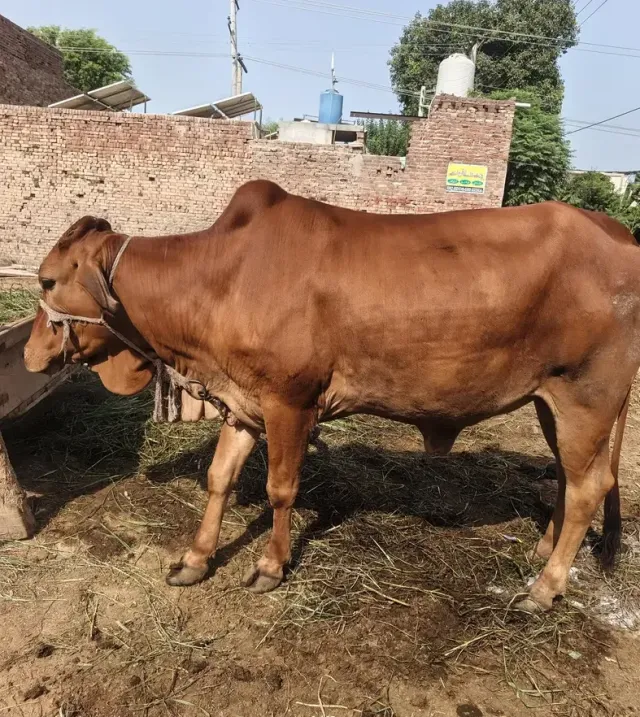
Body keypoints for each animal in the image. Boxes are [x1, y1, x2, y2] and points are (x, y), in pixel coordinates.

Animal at [23, 180, 640, 613]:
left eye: (48, 281)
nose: (28, 354)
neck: (219, 280)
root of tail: (619, 234)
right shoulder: (243, 403)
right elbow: (220, 478)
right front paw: (195, 559)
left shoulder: (290, 403)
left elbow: (280, 489)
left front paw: (270, 567)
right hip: (550, 402)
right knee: (568, 480)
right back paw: (541, 552)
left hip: (586, 398)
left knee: (589, 488)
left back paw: (544, 587)